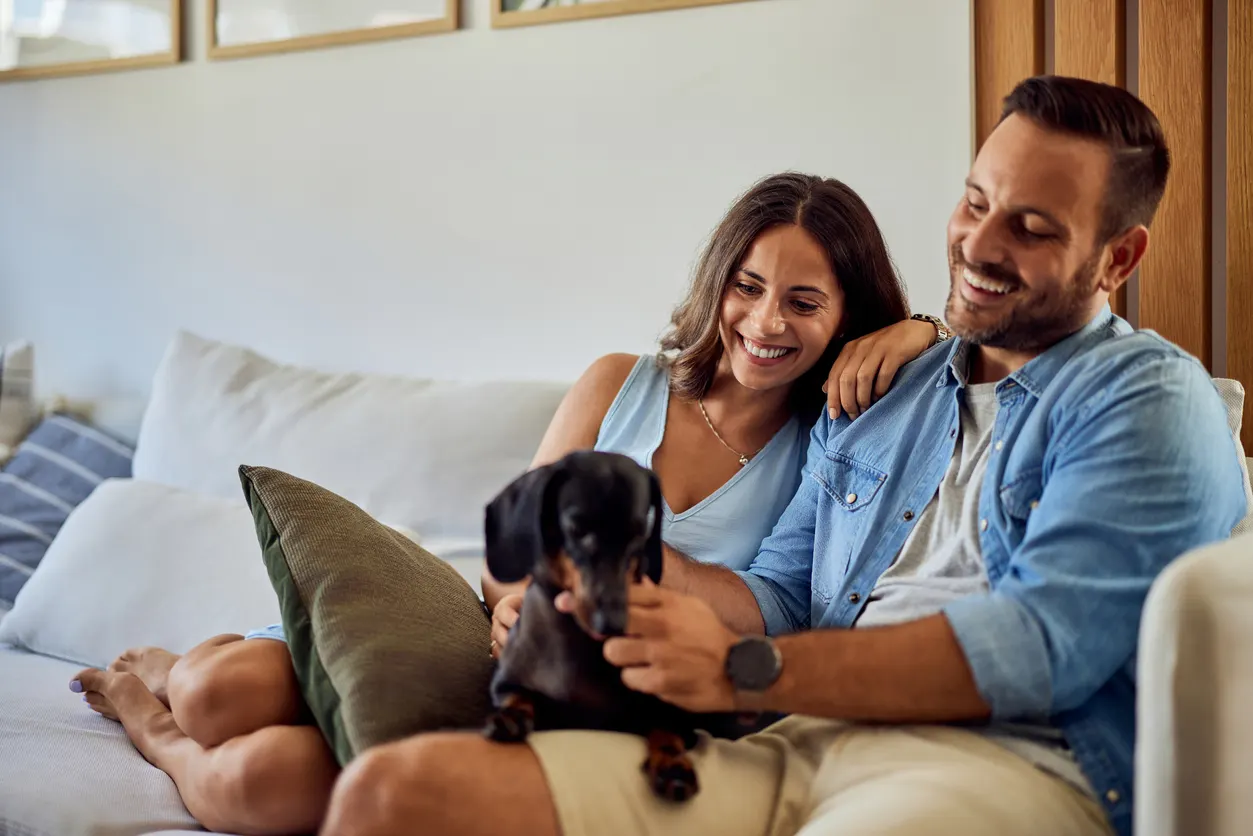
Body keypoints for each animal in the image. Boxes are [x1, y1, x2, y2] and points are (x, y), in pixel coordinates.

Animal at [478, 451, 751, 802]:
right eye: (576, 529)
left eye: (639, 534)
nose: (612, 624)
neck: (577, 641)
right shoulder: (507, 683)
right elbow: (517, 696)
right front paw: (510, 717)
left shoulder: (670, 709)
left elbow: (665, 729)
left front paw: (672, 765)